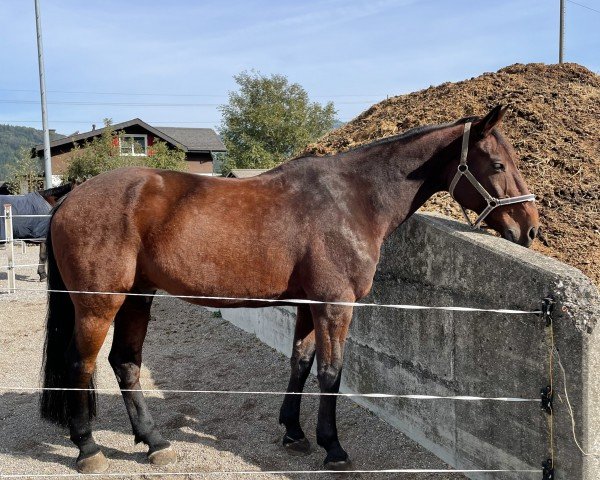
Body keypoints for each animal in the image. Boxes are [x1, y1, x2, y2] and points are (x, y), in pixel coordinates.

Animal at [41, 106, 540, 472]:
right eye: (497, 164)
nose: (530, 229)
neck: (351, 199)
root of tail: (71, 197)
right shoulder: (335, 305)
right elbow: (331, 373)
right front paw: (333, 448)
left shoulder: (307, 304)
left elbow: (301, 363)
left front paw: (294, 433)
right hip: (98, 304)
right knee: (81, 365)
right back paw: (89, 449)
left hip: (137, 298)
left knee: (125, 364)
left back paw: (155, 443)